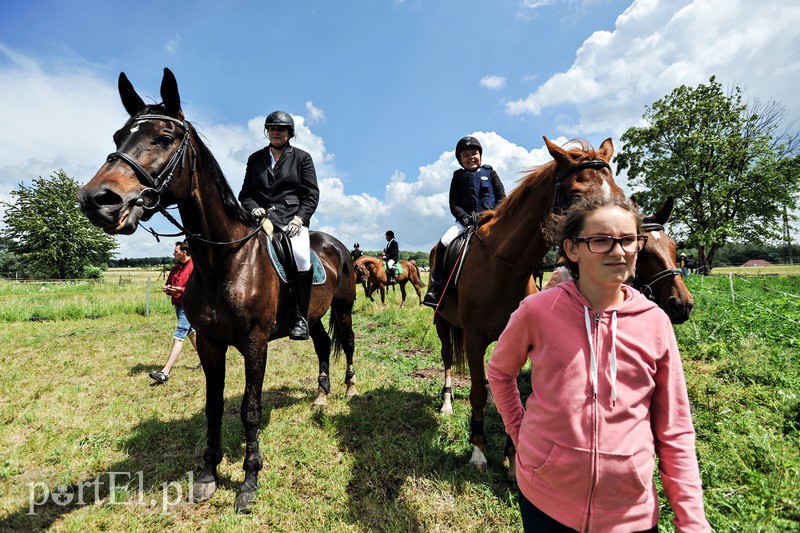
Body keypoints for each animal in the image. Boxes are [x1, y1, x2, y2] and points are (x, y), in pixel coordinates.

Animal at [76, 68, 358, 512]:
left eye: (164, 138)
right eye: (118, 136)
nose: (96, 200)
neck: (223, 261)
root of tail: (337, 245)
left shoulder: (255, 344)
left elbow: (250, 410)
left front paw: (249, 481)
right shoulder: (209, 342)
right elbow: (212, 406)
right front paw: (208, 473)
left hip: (344, 305)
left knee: (345, 341)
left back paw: (347, 387)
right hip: (311, 314)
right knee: (321, 342)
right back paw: (321, 395)